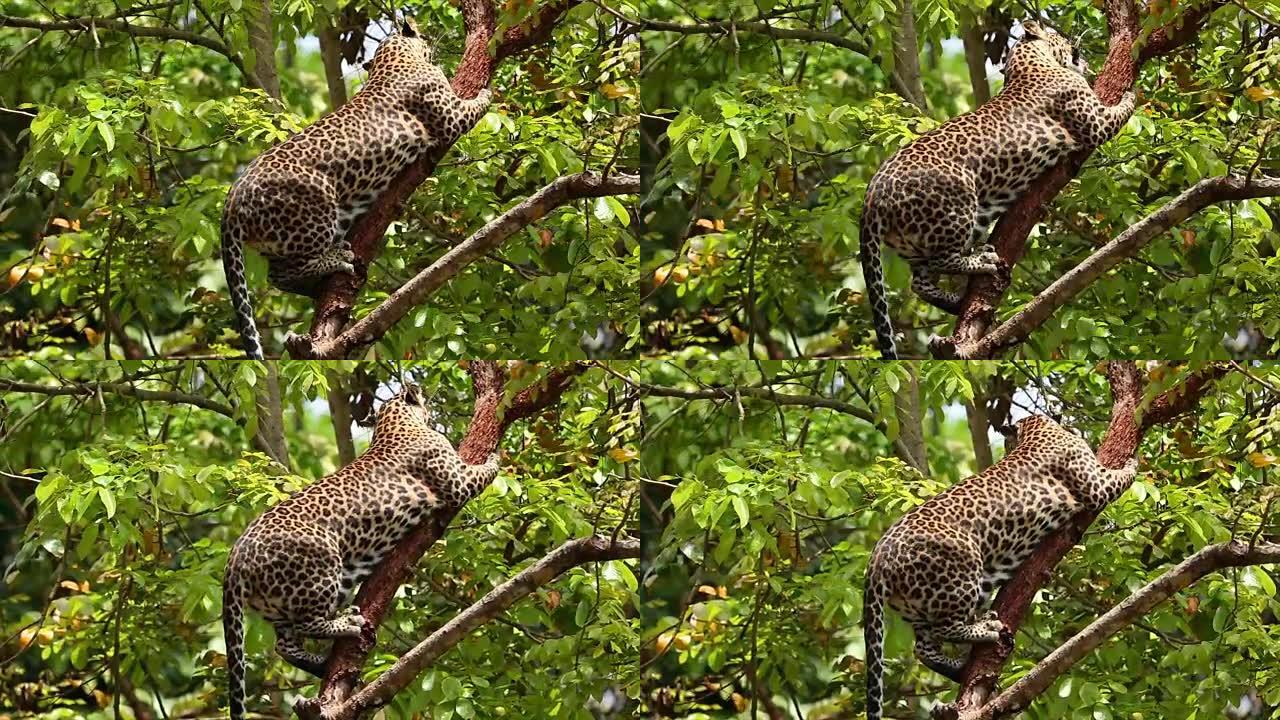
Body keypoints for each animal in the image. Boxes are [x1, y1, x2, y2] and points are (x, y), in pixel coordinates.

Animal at [220, 381, 499, 717]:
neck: (392, 424)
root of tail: (235, 557)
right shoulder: (456, 480)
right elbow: (480, 474)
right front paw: (496, 457)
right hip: (323, 566)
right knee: (307, 623)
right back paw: (348, 624)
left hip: (287, 600)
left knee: (285, 644)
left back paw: (321, 663)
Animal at [222, 20, 491, 358]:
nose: (434, 43)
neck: (391, 61)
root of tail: (232, 198)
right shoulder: (449, 115)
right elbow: (473, 108)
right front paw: (488, 92)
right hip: (317, 210)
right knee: (281, 273)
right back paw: (338, 258)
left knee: (281, 275)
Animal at [860, 20, 1141, 356]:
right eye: (1059, 35)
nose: (1077, 45)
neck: (1027, 63)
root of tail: (872, 195)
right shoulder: (1094, 121)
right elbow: (1118, 113)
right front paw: (1132, 94)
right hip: (959, 204)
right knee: (943, 259)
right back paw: (983, 262)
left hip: (928, 236)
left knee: (920, 281)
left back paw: (956, 302)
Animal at [860, 415, 1141, 717]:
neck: (1036, 429)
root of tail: (877, 557)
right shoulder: (1095, 484)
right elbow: (1119, 479)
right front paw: (1133, 463)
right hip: (963, 571)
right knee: (944, 629)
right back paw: (987, 630)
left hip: (923, 603)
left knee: (923, 648)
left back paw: (960, 666)